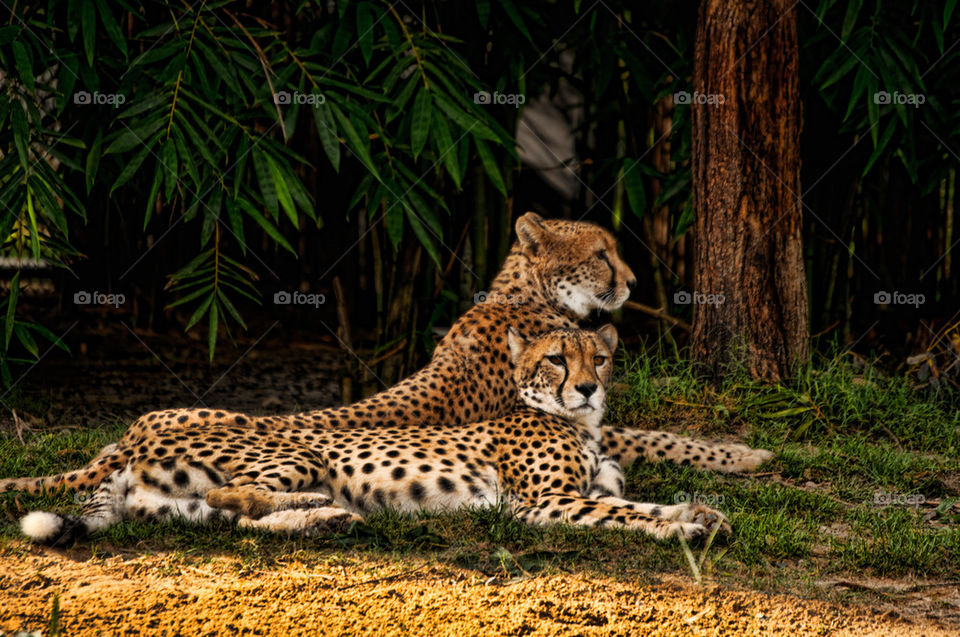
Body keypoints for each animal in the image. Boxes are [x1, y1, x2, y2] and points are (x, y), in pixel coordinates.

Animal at [2, 212, 772, 495]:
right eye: (603, 254)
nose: (636, 282)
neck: (525, 295)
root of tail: (132, 432)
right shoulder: (583, 419)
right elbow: (665, 437)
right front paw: (749, 454)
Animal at [20, 326, 734, 547]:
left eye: (601, 358)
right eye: (558, 359)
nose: (587, 388)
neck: (581, 425)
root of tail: (130, 446)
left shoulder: (587, 487)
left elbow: (638, 500)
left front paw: (700, 514)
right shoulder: (543, 503)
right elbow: (622, 513)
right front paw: (682, 528)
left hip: (181, 508)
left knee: (237, 516)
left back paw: (329, 520)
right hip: (301, 449)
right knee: (239, 494)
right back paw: (325, 508)